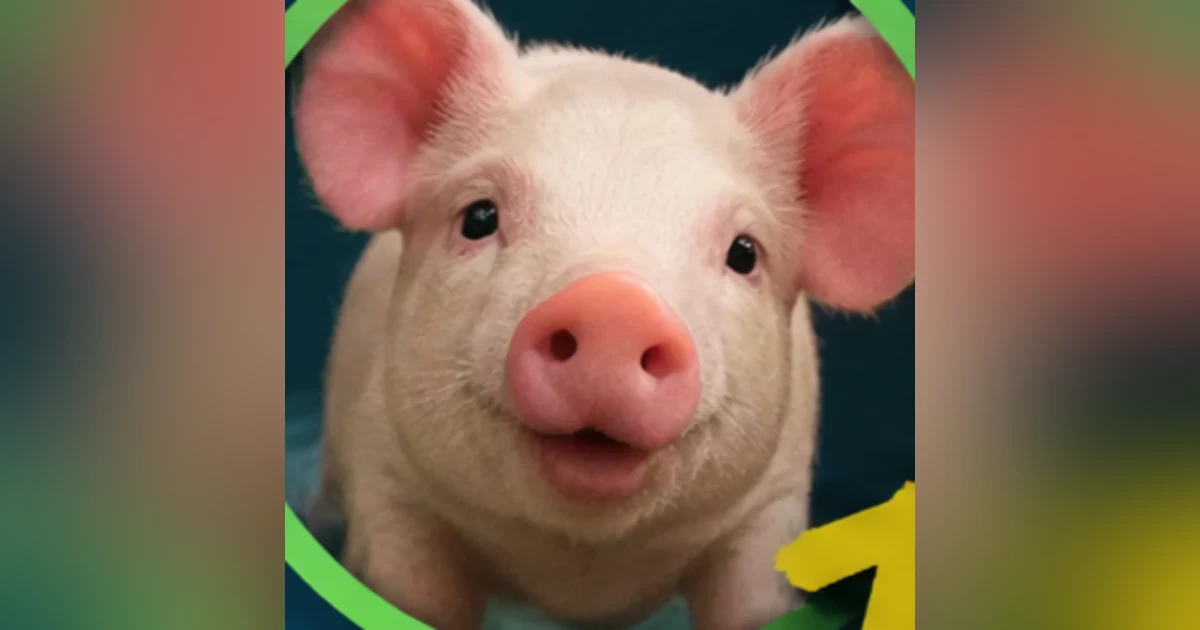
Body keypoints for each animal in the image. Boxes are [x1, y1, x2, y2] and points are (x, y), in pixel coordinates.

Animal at [293, 0, 914, 628]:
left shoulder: (770, 507)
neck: (585, 578)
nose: (615, 306)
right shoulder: (391, 485)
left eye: (744, 253)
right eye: (479, 217)